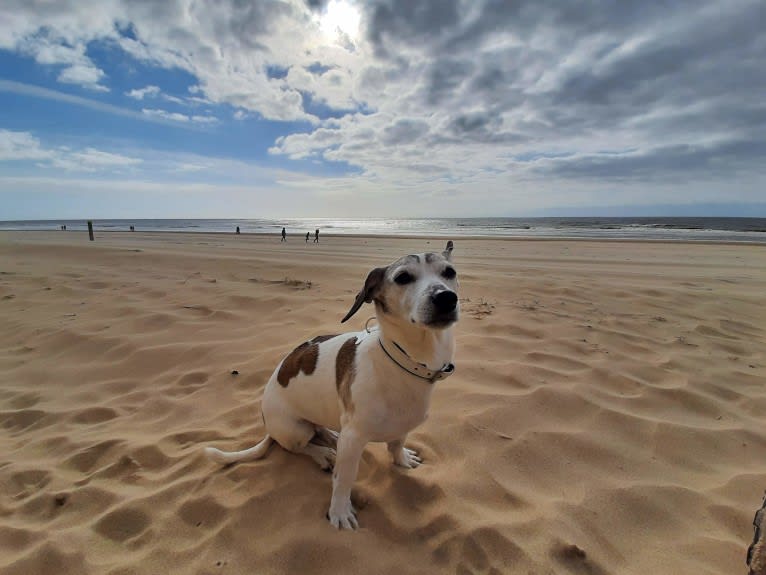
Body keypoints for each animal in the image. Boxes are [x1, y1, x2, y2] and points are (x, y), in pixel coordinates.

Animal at [204, 240, 460, 532]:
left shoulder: (402, 423)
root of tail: (268, 424)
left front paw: (402, 459)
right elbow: (344, 480)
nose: (446, 298)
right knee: (298, 447)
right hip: (296, 430)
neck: (403, 360)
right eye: (403, 277)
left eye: (449, 272)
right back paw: (323, 454)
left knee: (320, 430)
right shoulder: (354, 440)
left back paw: (330, 436)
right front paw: (339, 511)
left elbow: (396, 445)